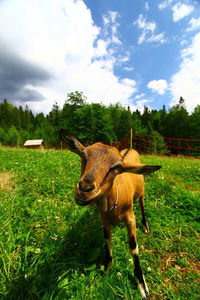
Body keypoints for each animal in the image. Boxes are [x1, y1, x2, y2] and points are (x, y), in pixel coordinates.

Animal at [59, 129, 161, 300]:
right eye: (83, 155)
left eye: (117, 167)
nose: (85, 188)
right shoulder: (105, 221)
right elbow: (107, 243)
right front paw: (106, 271)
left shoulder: (130, 218)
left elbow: (134, 248)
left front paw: (142, 285)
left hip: (141, 192)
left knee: (141, 204)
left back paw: (146, 226)